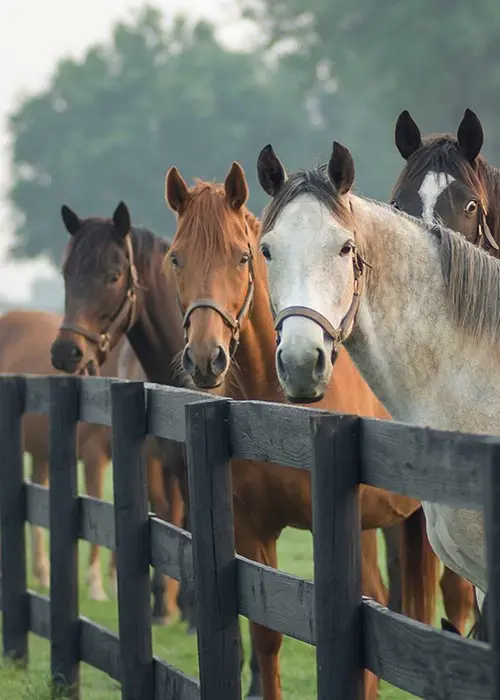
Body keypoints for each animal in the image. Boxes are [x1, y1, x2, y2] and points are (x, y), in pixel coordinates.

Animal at [163, 164, 446, 700]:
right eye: (175, 258)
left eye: (243, 257)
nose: (206, 358)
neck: (277, 413)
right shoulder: (252, 531)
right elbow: (267, 634)